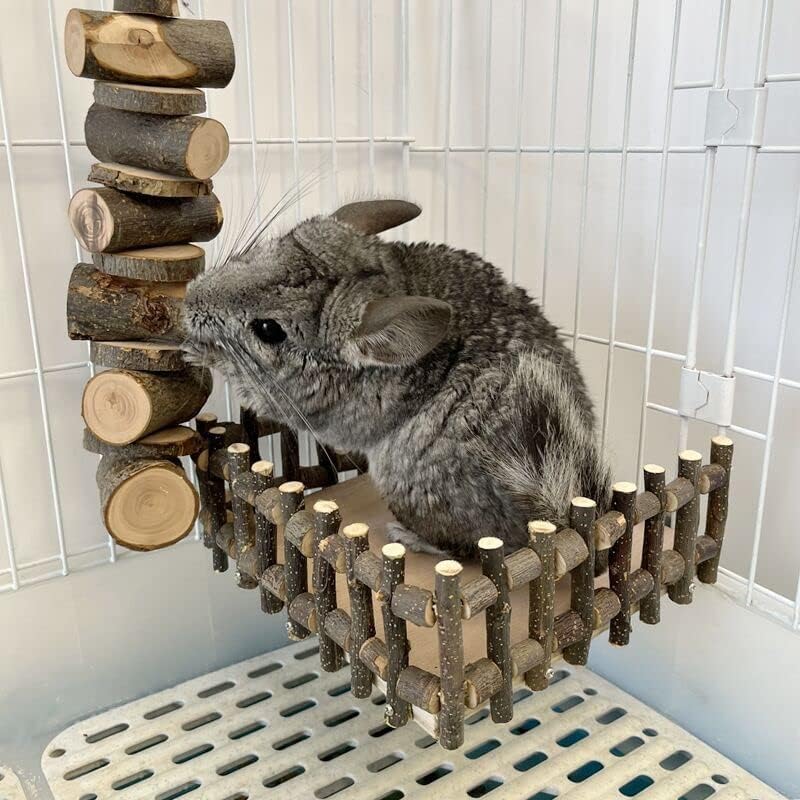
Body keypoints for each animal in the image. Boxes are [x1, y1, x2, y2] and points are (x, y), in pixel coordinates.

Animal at [183, 199, 611, 560]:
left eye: (268, 329)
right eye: (263, 250)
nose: (187, 300)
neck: (393, 279)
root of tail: (550, 521)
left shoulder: (294, 402)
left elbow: (249, 384)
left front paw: (194, 349)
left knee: (473, 550)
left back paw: (410, 538)